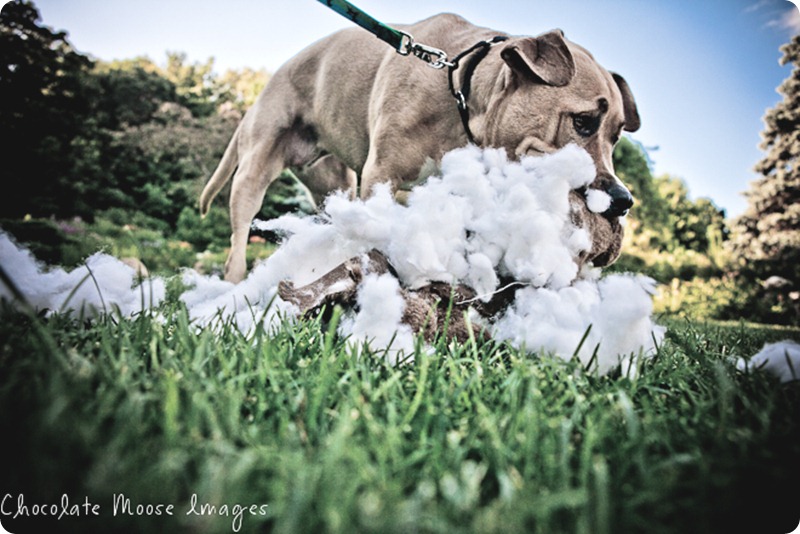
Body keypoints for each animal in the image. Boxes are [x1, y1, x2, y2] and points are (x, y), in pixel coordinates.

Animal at [202, 12, 644, 284]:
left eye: (617, 135)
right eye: (583, 122)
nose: (624, 200)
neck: (461, 94)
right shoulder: (381, 175)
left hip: (333, 185)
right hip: (254, 169)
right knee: (238, 239)